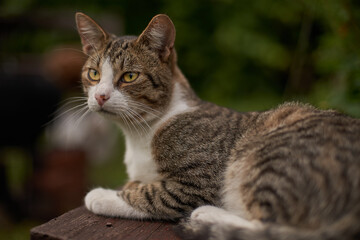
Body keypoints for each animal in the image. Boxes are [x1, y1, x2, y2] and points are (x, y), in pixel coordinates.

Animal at [75, 12, 360, 239]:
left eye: (130, 76)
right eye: (94, 74)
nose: (100, 96)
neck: (139, 134)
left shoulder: (198, 182)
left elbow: (151, 194)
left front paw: (101, 195)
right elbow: (139, 184)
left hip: (272, 161)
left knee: (272, 228)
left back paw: (207, 215)